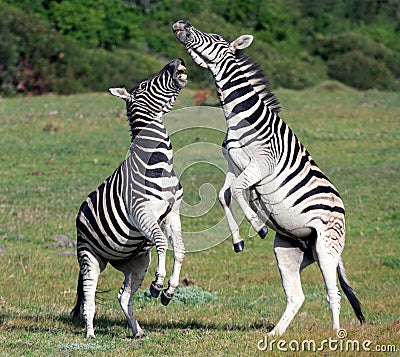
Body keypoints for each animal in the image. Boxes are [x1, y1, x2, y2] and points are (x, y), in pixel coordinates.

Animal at [71, 59, 188, 340]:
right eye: (145, 85)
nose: (176, 62)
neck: (159, 160)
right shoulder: (143, 212)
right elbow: (162, 243)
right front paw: (158, 283)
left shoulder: (172, 213)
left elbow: (179, 250)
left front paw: (169, 290)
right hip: (90, 256)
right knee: (89, 297)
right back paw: (90, 335)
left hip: (137, 261)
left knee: (123, 297)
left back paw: (138, 331)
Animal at [173, 20, 364, 336]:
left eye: (214, 38)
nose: (180, 24)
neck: (239, 115)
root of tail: (341, 207)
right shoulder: (234, 165)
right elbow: (224, 195)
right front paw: (238, 240)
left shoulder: (261, 164)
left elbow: (239, 191)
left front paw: (257, 224)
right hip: (289, 250)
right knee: (296, 295)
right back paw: (275, 333)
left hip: (327, 248)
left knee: (333, 292)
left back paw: (335, 334)